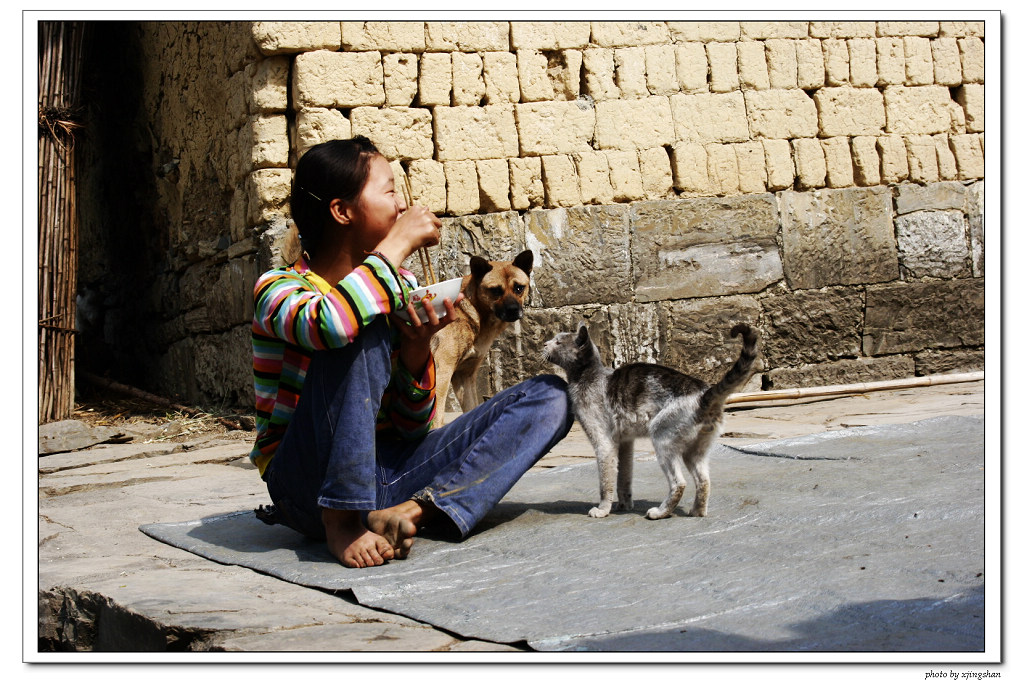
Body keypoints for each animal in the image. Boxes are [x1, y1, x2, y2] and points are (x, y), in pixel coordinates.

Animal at [428, 248, 536, 423]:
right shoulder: (441, 371)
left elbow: (471, 408)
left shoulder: (464, 376)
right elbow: (437, 419)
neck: (471, 311)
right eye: (496, 290)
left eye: (519, 288)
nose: (513, 310)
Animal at [544, 321, 761, 518]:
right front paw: (624, 505)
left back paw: (661, 512)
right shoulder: (625, 442)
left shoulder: (603, 443)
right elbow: (624, 478)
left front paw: (603, 510)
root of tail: (704, 394)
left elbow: (606, 482)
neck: (588, 376)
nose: (545, 344)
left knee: (679, 483)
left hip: (662, 438)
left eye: (558, 342)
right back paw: (697, 512)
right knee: (704, 481)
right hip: (694, 451)